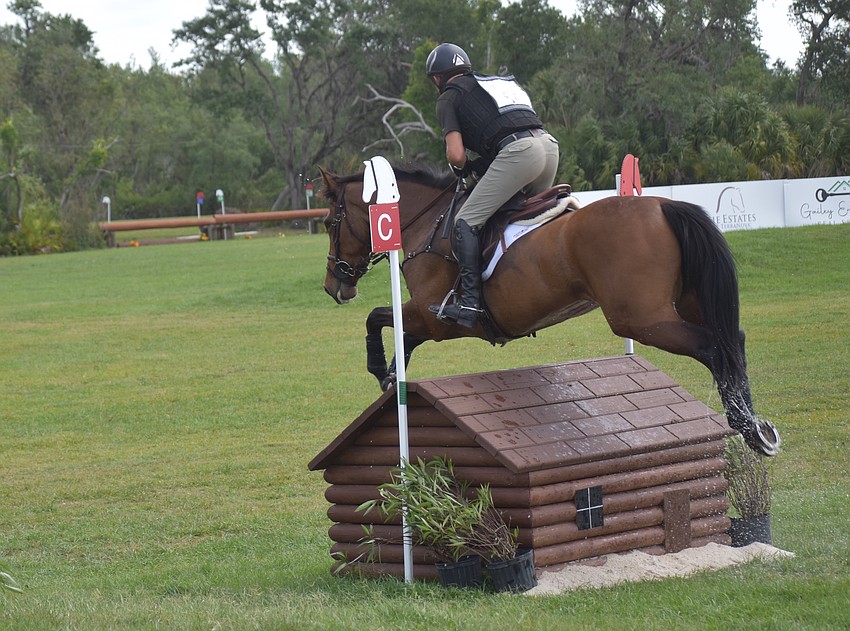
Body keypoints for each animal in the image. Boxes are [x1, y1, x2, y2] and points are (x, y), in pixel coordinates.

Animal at [320, 163, 780, 457]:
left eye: (328, 223)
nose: (334, 287)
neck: (427, 222)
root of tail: (664, 206)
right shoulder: (430, 319)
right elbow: (400, 332)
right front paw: (391, 378)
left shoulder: (437, 317)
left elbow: (379, 317)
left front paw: (379, 369)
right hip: (684, 304)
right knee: (732, 340)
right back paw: (759, 430)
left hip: (641, 319)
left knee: (713, 347)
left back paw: (745, 427)